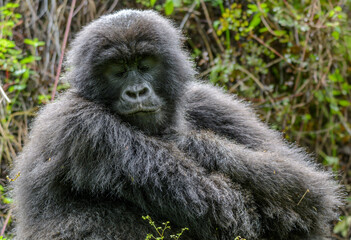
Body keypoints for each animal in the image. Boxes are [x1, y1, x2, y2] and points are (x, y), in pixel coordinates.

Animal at [11, 9, 344, 240]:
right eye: (118, 71)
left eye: (145, 64)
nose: (137, 92)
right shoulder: (82, 123)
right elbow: (223, 205)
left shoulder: (209, 101)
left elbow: (303, 184)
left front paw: (189, 141)